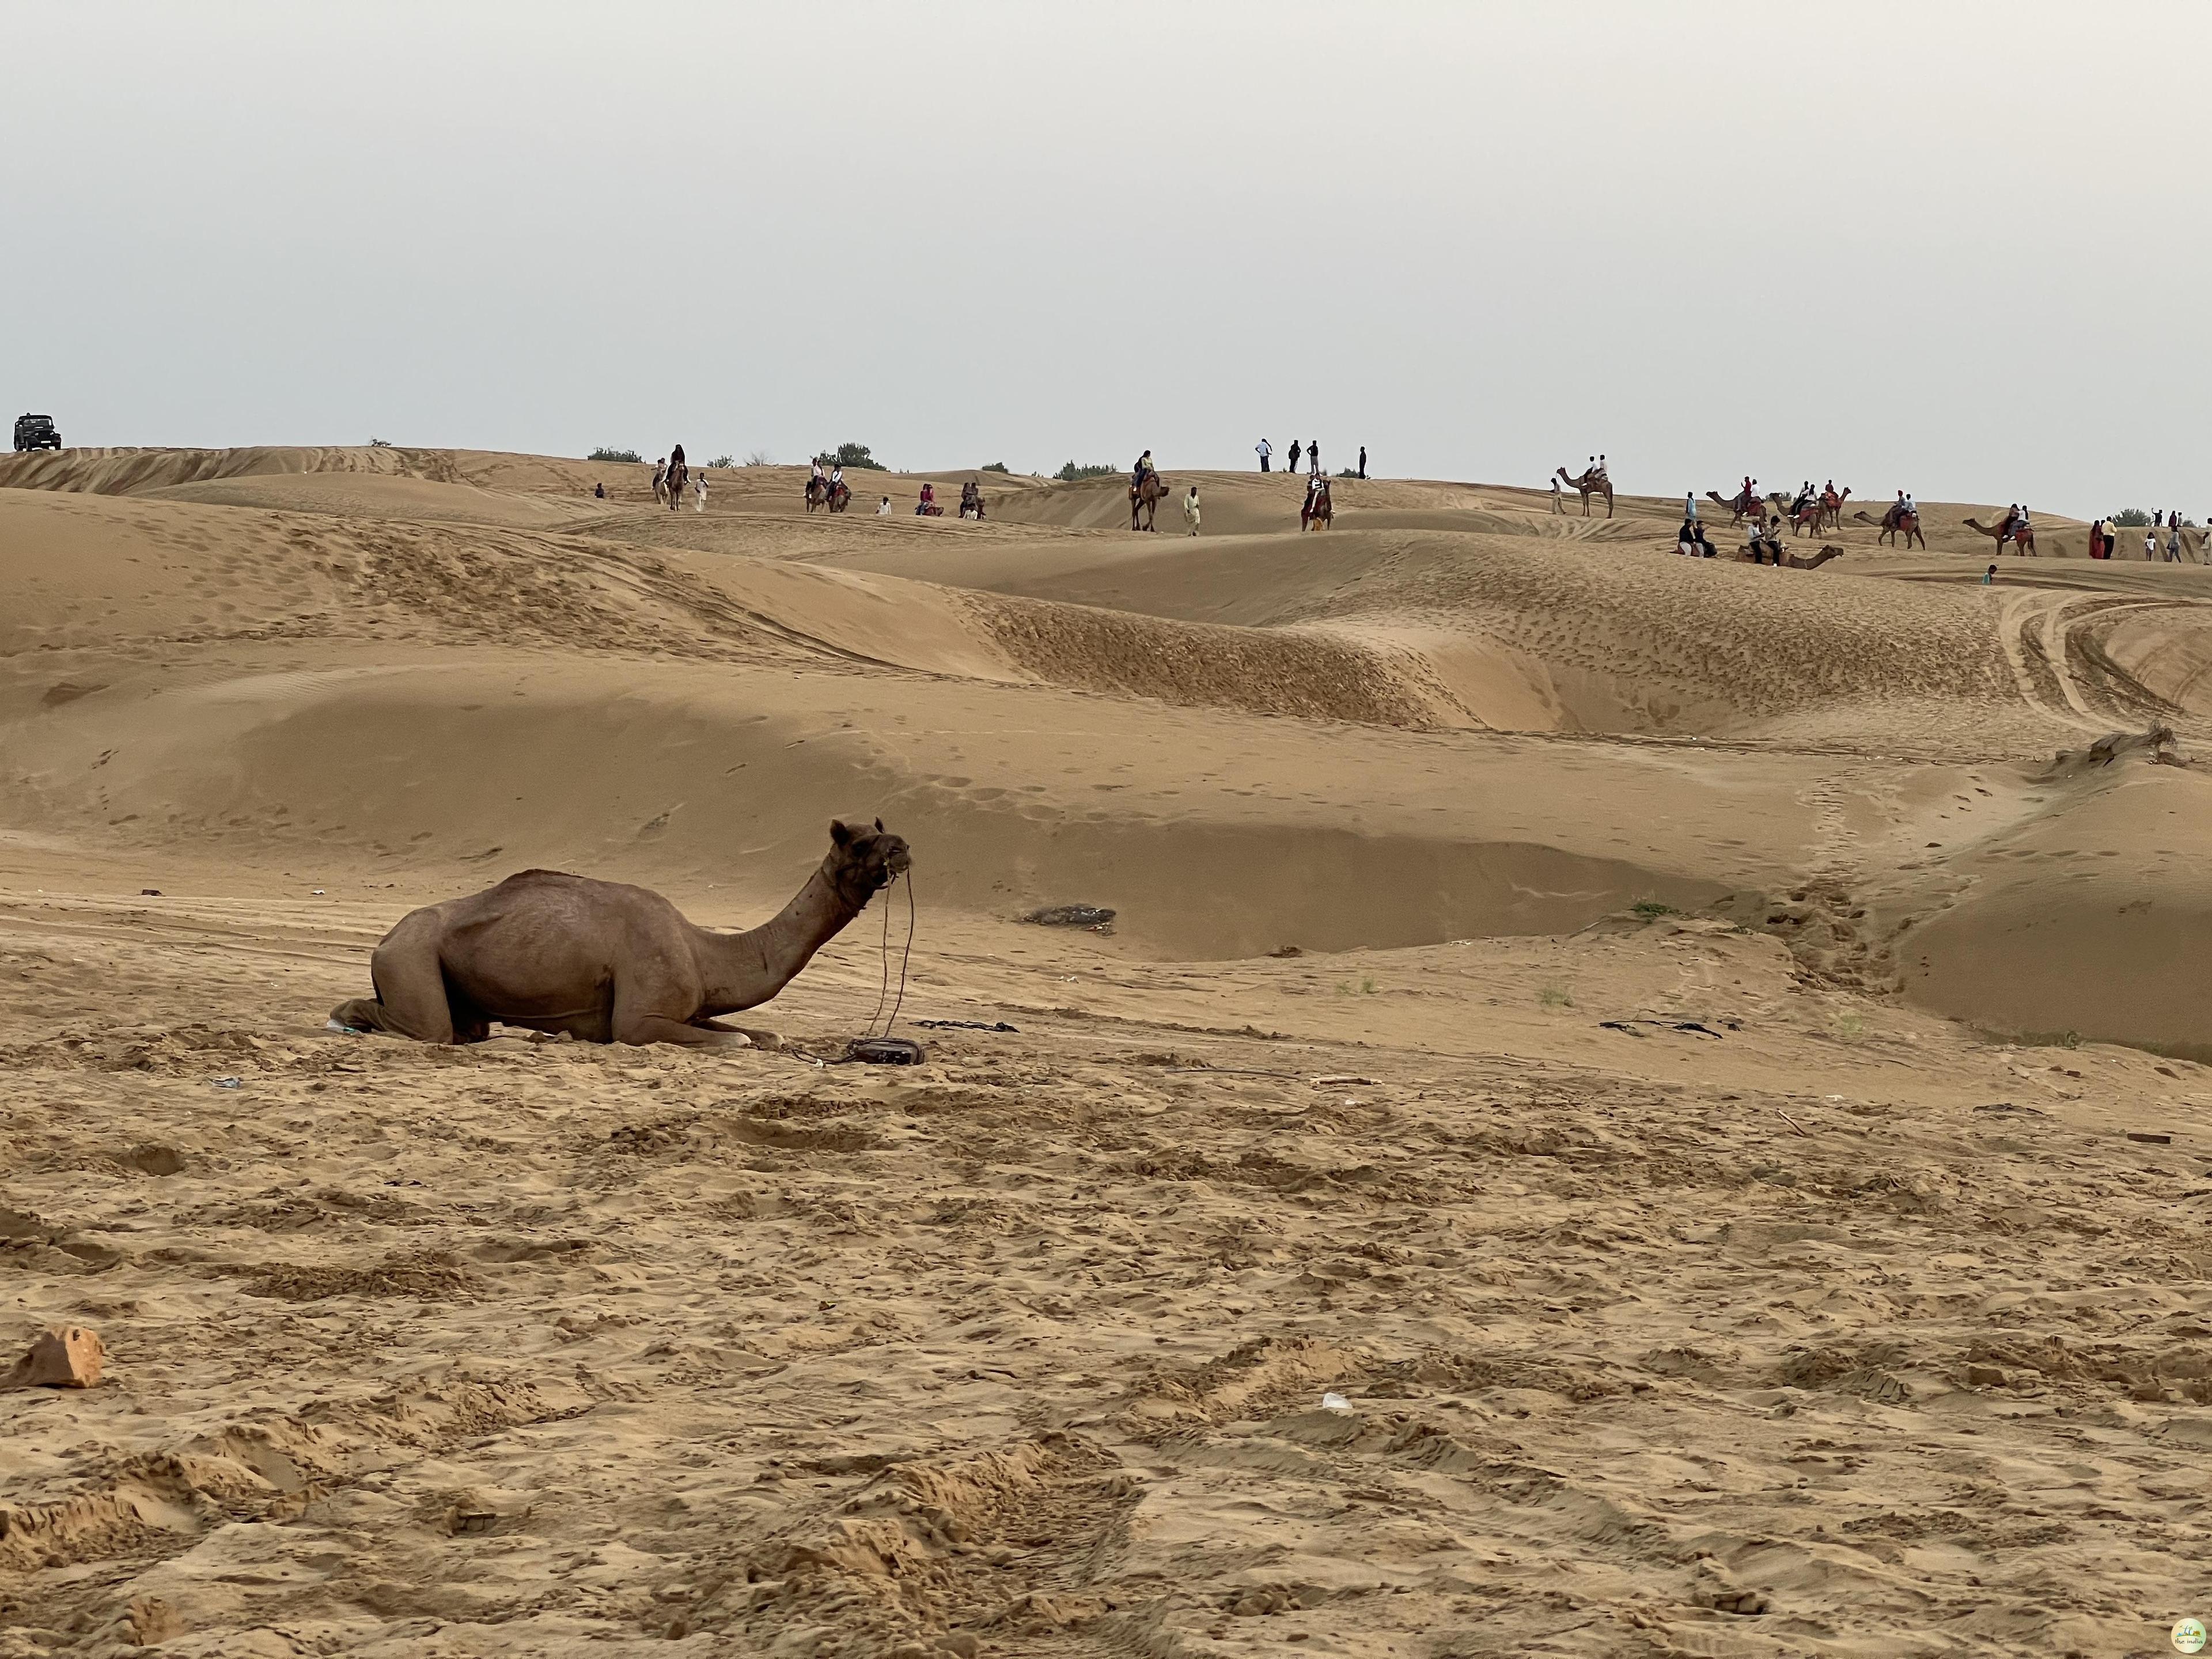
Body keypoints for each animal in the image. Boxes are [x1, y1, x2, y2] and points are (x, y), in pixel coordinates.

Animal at [323, 823, 907, 1052]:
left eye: (884, 831)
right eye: (859, 842)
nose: (903, 847)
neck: (704, 951)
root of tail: (385, 940)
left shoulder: (692, 1008)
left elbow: (769, 1035)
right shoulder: (639, 1020)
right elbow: (739, 1040)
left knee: (465, 1028)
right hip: (412, 959)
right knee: (418, 1025)